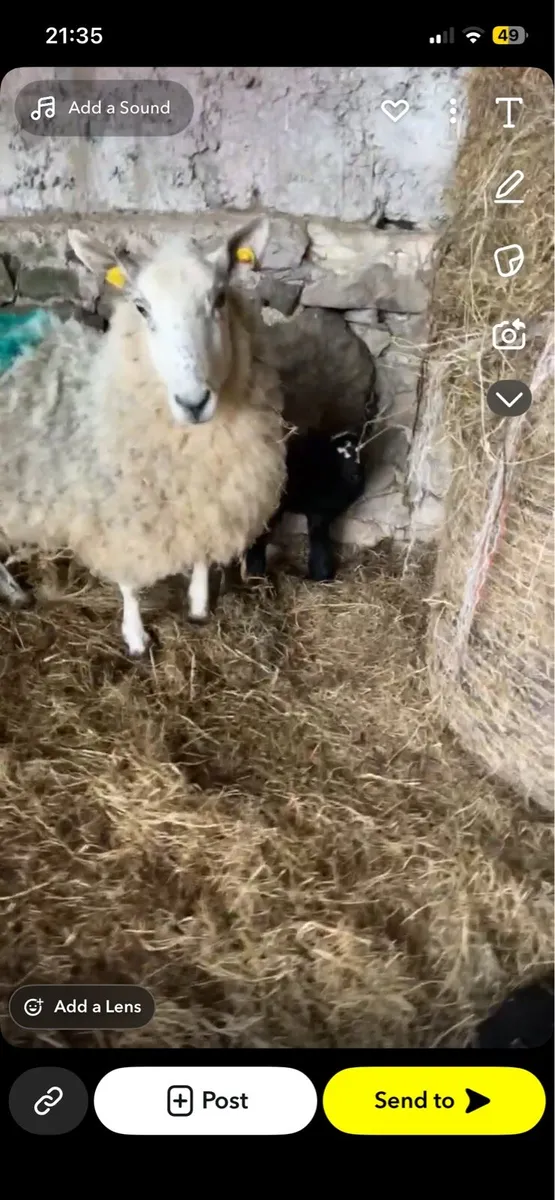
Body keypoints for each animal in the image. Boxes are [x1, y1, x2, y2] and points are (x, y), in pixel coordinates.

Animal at [0, 217, 287, 655]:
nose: (193, 402)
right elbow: (130, 583)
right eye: (141, 308)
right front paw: (135, 638)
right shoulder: (120, 514)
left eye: (219, 298)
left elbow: (201, 553)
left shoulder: (207, 500)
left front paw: (199, 606)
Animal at [245, 387, 379, 582]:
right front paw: (322, 574)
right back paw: (255, 572)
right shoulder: (319, 509)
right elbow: (318, 538)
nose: (355, 474)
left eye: (361, 452)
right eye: (339, 457)